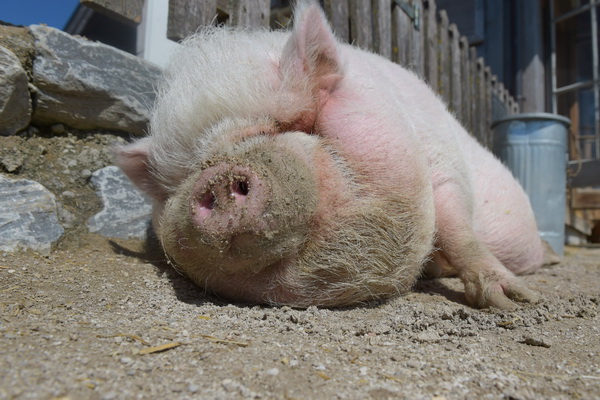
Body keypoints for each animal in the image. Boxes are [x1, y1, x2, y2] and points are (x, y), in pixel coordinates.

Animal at [115, 0, 548, 310]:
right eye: (189, 169)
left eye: (296, 123)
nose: (218, 176)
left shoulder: (444, 167)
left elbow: (459, 230)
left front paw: (515, 303)